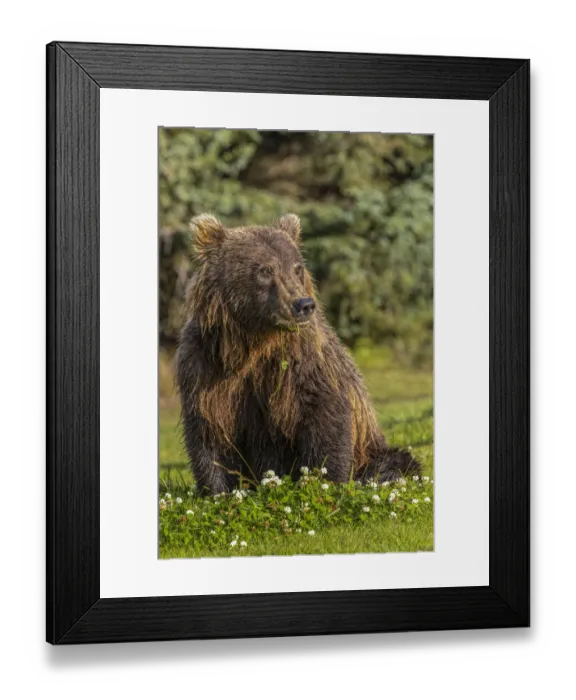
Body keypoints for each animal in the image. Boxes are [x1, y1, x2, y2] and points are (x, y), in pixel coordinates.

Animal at [177, 213, 420, 494]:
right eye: (265, 270)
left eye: (296, 268)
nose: (303, 305)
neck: (254, 342)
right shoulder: (205, 366)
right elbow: (209, 430)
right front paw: (219, 490)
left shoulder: (303, 361)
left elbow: (325, 415)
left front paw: (325, 480)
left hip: (371, 448)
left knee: (395, 463)